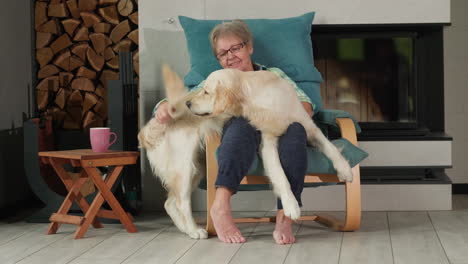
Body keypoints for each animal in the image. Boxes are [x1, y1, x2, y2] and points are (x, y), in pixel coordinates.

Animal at [139, 66, 227, 239]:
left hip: (197, 169)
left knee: (170, 203)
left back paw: (187, 229)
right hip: (185, 169)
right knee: (182, 203)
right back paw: (195, 230)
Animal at [186, 68, 352, 221]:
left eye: (206, 92)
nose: (187, 103)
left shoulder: (309, 126)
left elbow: (331, 148)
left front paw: (345, 170)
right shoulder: (268, 143)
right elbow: (280, 175)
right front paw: (291, 205)